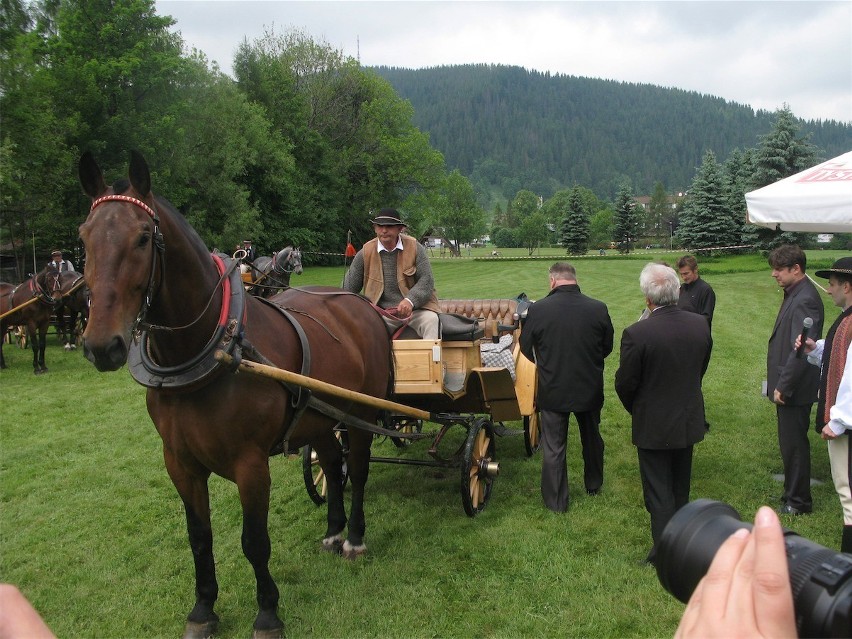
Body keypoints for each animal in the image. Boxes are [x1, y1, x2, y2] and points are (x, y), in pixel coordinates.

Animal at [76, 151, 390, 639]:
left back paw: (354, 537)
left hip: (361, 414)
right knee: (332, 468)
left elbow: (254, 541)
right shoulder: (179, 462)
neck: (211, 346)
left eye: (144, 237)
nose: (100, 345)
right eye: (84, 238)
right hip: (319, 418)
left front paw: (267, 613)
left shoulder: (250, 463)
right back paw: (334, 531)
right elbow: (199, 538)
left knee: (356, 471)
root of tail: (363, 305)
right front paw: (203, 608)